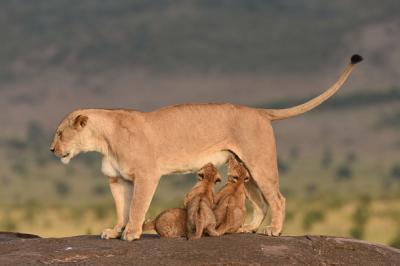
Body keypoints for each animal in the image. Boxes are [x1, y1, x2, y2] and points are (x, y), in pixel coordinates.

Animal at [50, 54, 362, 241]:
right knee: (261, 201)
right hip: (244, 170)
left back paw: (274, 230)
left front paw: (132, 232)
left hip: (260, 163)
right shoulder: (117, 179)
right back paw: (249, 228)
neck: (103, 140)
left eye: (60, 133)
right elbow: (120, 208)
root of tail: (259, 111)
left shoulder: (147, 174)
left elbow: (136, 206)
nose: (52, 150)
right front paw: (114, 231)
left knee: (278, 198)